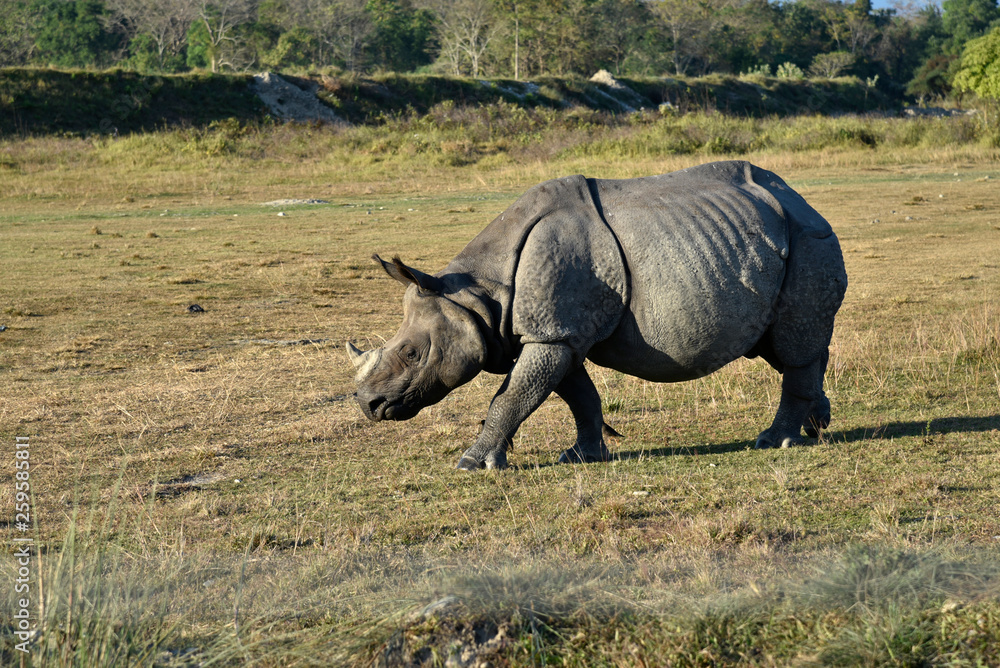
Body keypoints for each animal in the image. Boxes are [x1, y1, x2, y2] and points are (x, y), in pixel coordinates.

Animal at [346, 161, 847, 470]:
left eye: (412, 353)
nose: (369, 405)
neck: (480, 295)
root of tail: (801, 199)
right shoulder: (555, 334)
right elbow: (578, 396)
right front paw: (582, 456)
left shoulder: (551, 333)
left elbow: (512, 397)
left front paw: (472, 463)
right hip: (771, 239)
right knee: (779, 345)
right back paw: (817, 424)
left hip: (810, 238)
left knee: (793, 346)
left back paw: (776, 441)